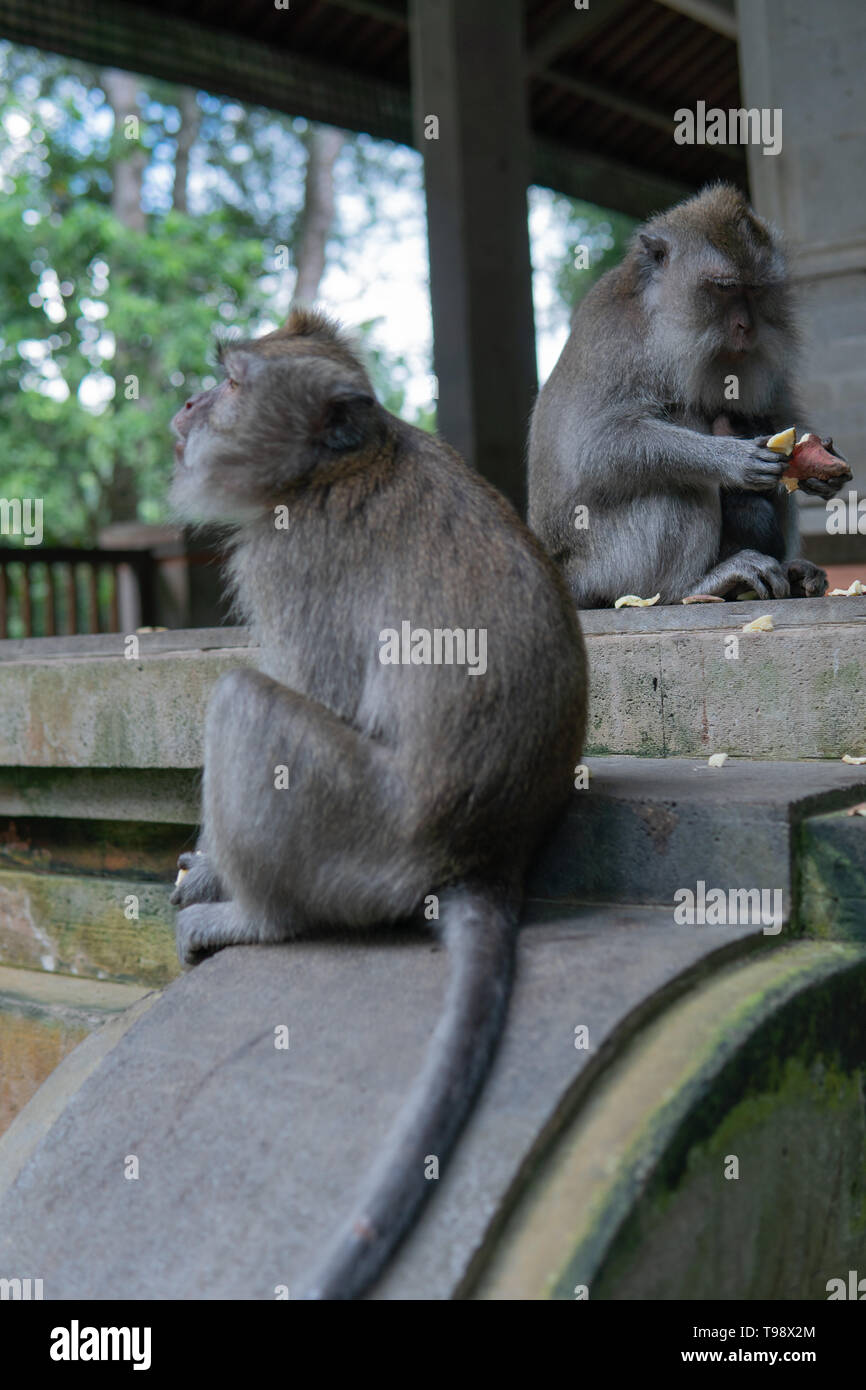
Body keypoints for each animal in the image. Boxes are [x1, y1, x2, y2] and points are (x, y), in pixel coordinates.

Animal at [167, 307, 589, 1301]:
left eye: (232, 383)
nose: (189, 405)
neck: (325, 473)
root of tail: (483, 853)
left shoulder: (289, 559)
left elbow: (309, 686)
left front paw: (207, 870)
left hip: (360, 833)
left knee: (244, 704)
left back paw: (255, 916)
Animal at [528, 182, 845, 606]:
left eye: (755, 290)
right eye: (725, 288)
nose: (746, 326)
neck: (661, 317)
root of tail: (563, 573)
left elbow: (774, 414)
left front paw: (821, 464)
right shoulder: (617, 341)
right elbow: (596, 445)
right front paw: (731, 458)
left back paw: (789, 573)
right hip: (607, 567)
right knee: (677, 471)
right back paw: (693, 587)